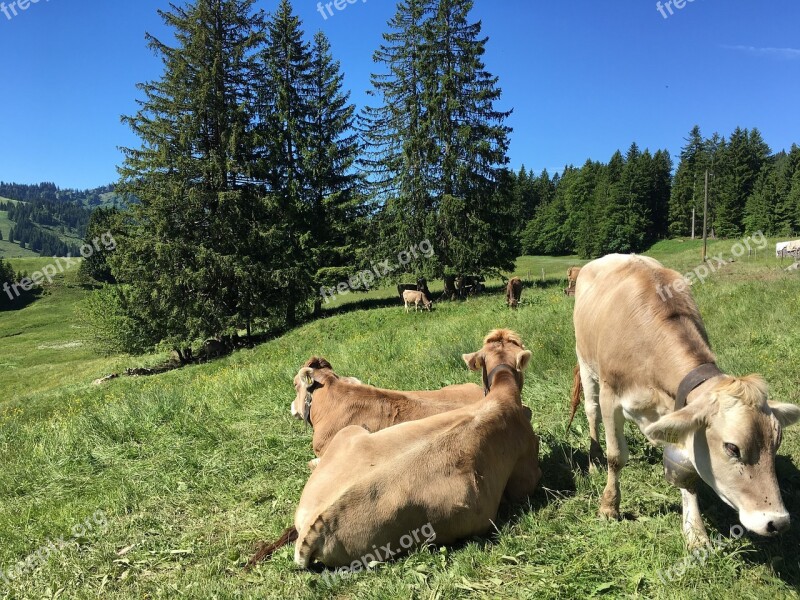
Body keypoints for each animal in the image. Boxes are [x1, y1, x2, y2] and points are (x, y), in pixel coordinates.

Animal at [568, 253, 800, 548]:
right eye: (732, 448)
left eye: (777, 443)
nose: (777, 522)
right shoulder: (612, 396)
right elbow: (616, 456)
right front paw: (609, 506)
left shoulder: (680, 409)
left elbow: (687, 472)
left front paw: (695, 532)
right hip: (585, 362)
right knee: (591, 411)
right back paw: (593, 458)